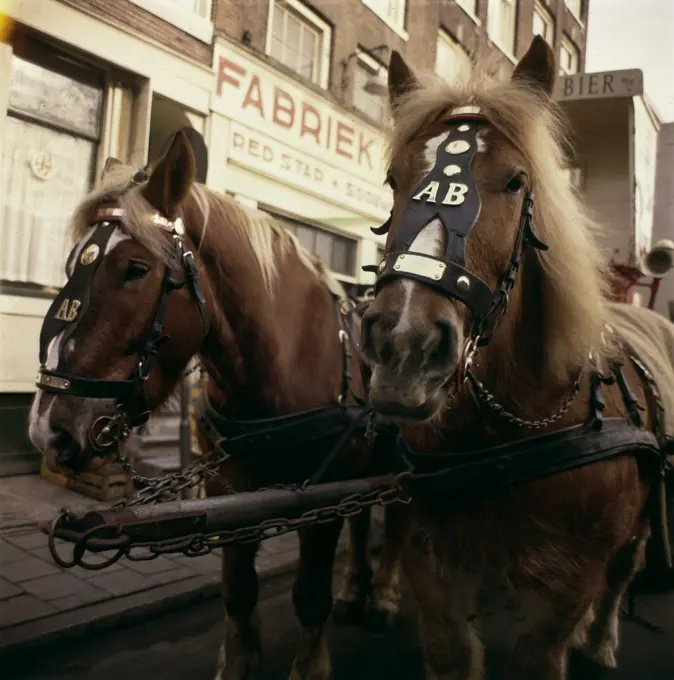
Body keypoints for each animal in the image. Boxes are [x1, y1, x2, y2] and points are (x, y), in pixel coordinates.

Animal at [26, 133, 402, 680]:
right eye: (73, 263)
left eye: (136, 270)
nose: (46, 429)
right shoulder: (231, 487)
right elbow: (239, 590)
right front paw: (239, 663)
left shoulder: (323, 495)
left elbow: (310, 594)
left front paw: (311, 665)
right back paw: (355, 588)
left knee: (401, 521)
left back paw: (388, 595)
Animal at [360, 38, 668, 680]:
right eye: (395, 178)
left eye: (517, 181)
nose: (404, 346)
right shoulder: (434, 563)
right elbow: (452, 649)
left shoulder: (568, 580)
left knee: (625, 570)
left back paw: (601, 639)